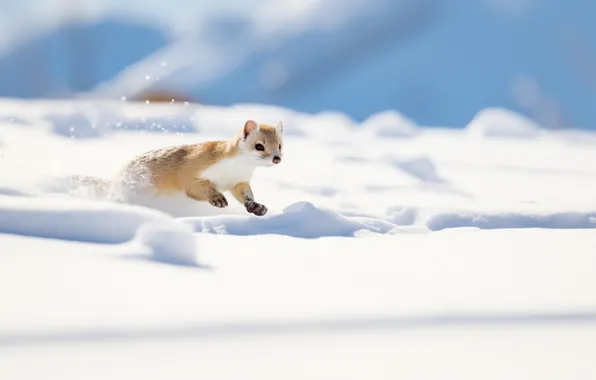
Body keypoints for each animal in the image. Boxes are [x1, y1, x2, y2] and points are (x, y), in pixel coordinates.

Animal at [117, 120, 286, 215]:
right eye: (259, 146)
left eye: (279, 145)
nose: (277, 159)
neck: (231, 171)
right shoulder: (192, 168)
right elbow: (195, 186)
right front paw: (217, 198)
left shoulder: (239, 181)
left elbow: (246, 195)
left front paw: (257, 207)